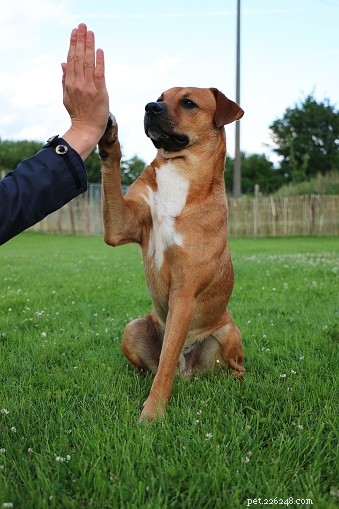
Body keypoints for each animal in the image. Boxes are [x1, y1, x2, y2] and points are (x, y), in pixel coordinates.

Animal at [99, 86, 246, 420]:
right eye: (160, 98)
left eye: (189, 102)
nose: (149, 107)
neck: (180, 170)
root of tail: (187, 370)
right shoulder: (121, 227)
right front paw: (108, 138)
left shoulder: (184, 292)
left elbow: (166, 363)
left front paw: (152, 414)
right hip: (133, 328)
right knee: (153, 366)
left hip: (229, 330)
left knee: (233, 365)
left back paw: (235, 380)